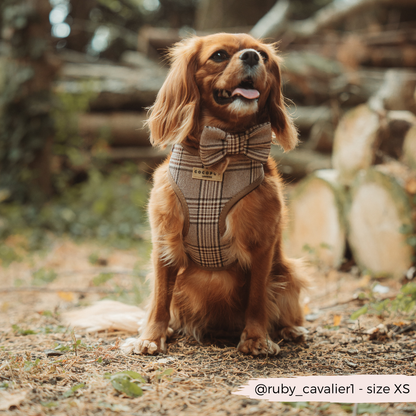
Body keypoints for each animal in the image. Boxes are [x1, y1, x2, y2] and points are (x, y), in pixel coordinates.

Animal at [128, 34, 308, 356]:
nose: (252, 57)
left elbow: (257, 299)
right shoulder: (164, 241)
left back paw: (291, 329)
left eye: (263, 55)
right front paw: (151, 337)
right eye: (219, 55)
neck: (226, 146)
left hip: (288, 272)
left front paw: (256, 338)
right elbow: (160, 299)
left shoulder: (262, 246)